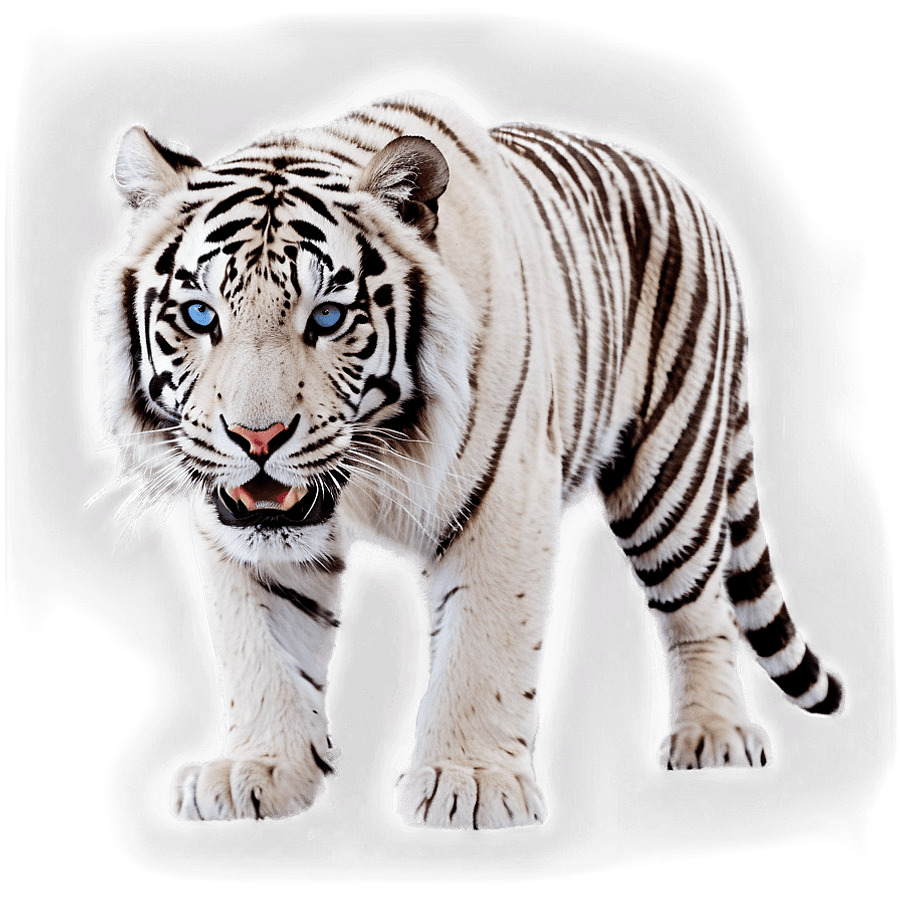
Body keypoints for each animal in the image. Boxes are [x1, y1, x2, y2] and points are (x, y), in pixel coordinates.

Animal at [95, 91, 845, 831]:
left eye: (329, 318)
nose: (258, 438)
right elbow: (262, 644)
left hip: (669, 477)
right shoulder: (238, 525)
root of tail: (688, 191)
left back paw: (713, 735)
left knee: (700, 606)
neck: (375, 460)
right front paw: (261, 771)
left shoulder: (507, 494)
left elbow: (484, 643)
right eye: (200, 316)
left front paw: (470, 782)